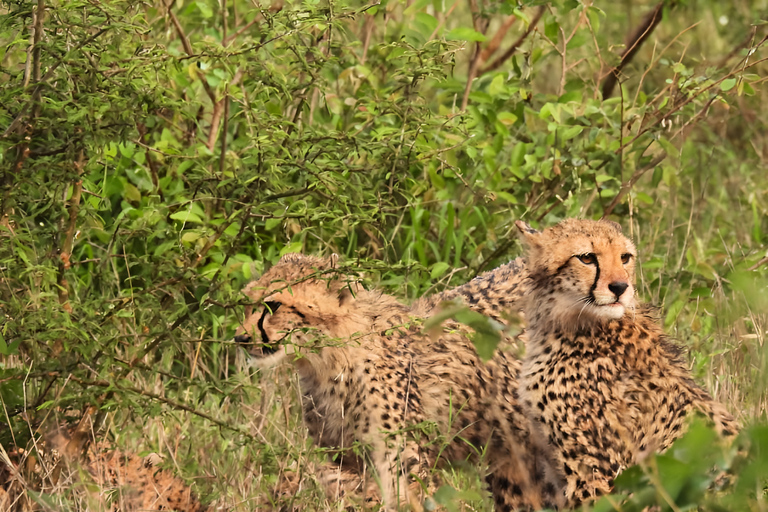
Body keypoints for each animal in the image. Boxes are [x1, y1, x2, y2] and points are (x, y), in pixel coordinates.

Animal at [237, 255, 560, 512]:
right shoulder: (342, 458)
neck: (330, 361)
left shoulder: (405, 464)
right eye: (246, 304)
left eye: (273, 305)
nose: (241, 338)